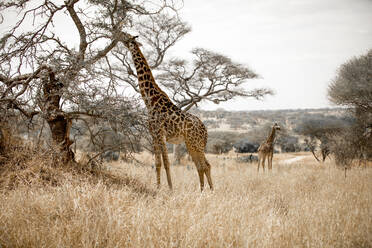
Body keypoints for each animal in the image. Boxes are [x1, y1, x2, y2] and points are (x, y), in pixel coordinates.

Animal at [118, 33, 212, 191]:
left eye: (125, 36)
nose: (117, 34)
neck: (149, 100)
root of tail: (205, 130)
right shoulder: (154, 135)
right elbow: (157, 163)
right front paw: (157, 187)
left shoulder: (160, 133)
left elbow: (167, 163)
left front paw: (170, 188)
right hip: (191, 143)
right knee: (201, 166)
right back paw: (203, 191)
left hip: (196, 143)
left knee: (205, 165)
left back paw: (209, 190)